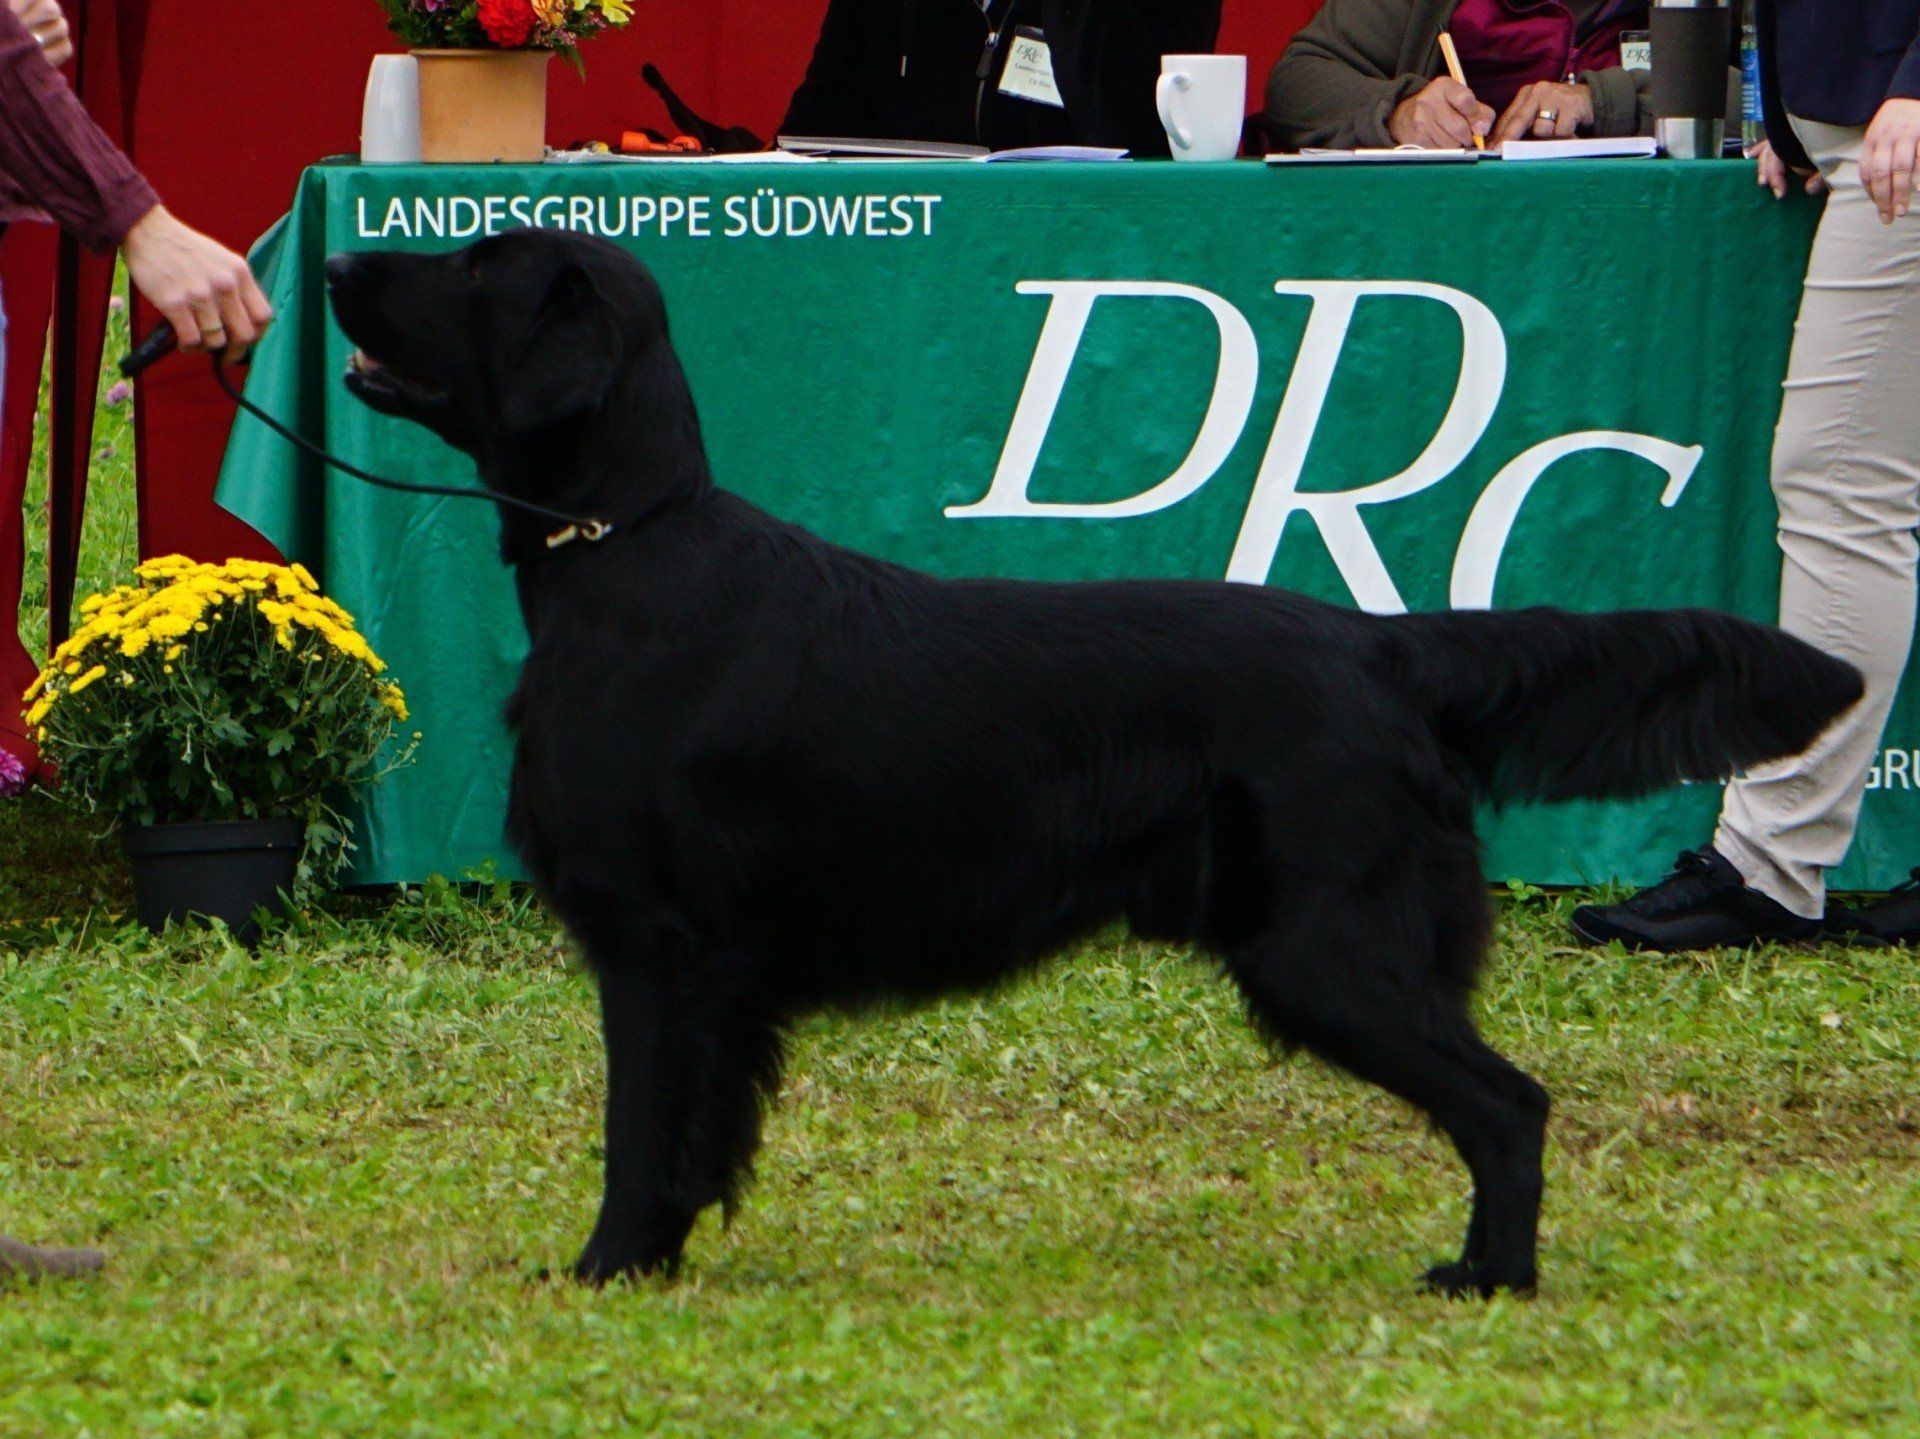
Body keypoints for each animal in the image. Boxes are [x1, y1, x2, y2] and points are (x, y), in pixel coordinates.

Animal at [326, 228, 1861, 1297]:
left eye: (477, 265)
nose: (337, 259)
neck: (625, 545)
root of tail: (1379, 646)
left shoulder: (658, 944)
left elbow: (639, 1130)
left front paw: (603, 1268)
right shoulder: (709, 969)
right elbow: (697, 1138)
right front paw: (653, 1261)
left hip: (1325, 949)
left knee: (1509, 1100)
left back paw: (1492, 1277)